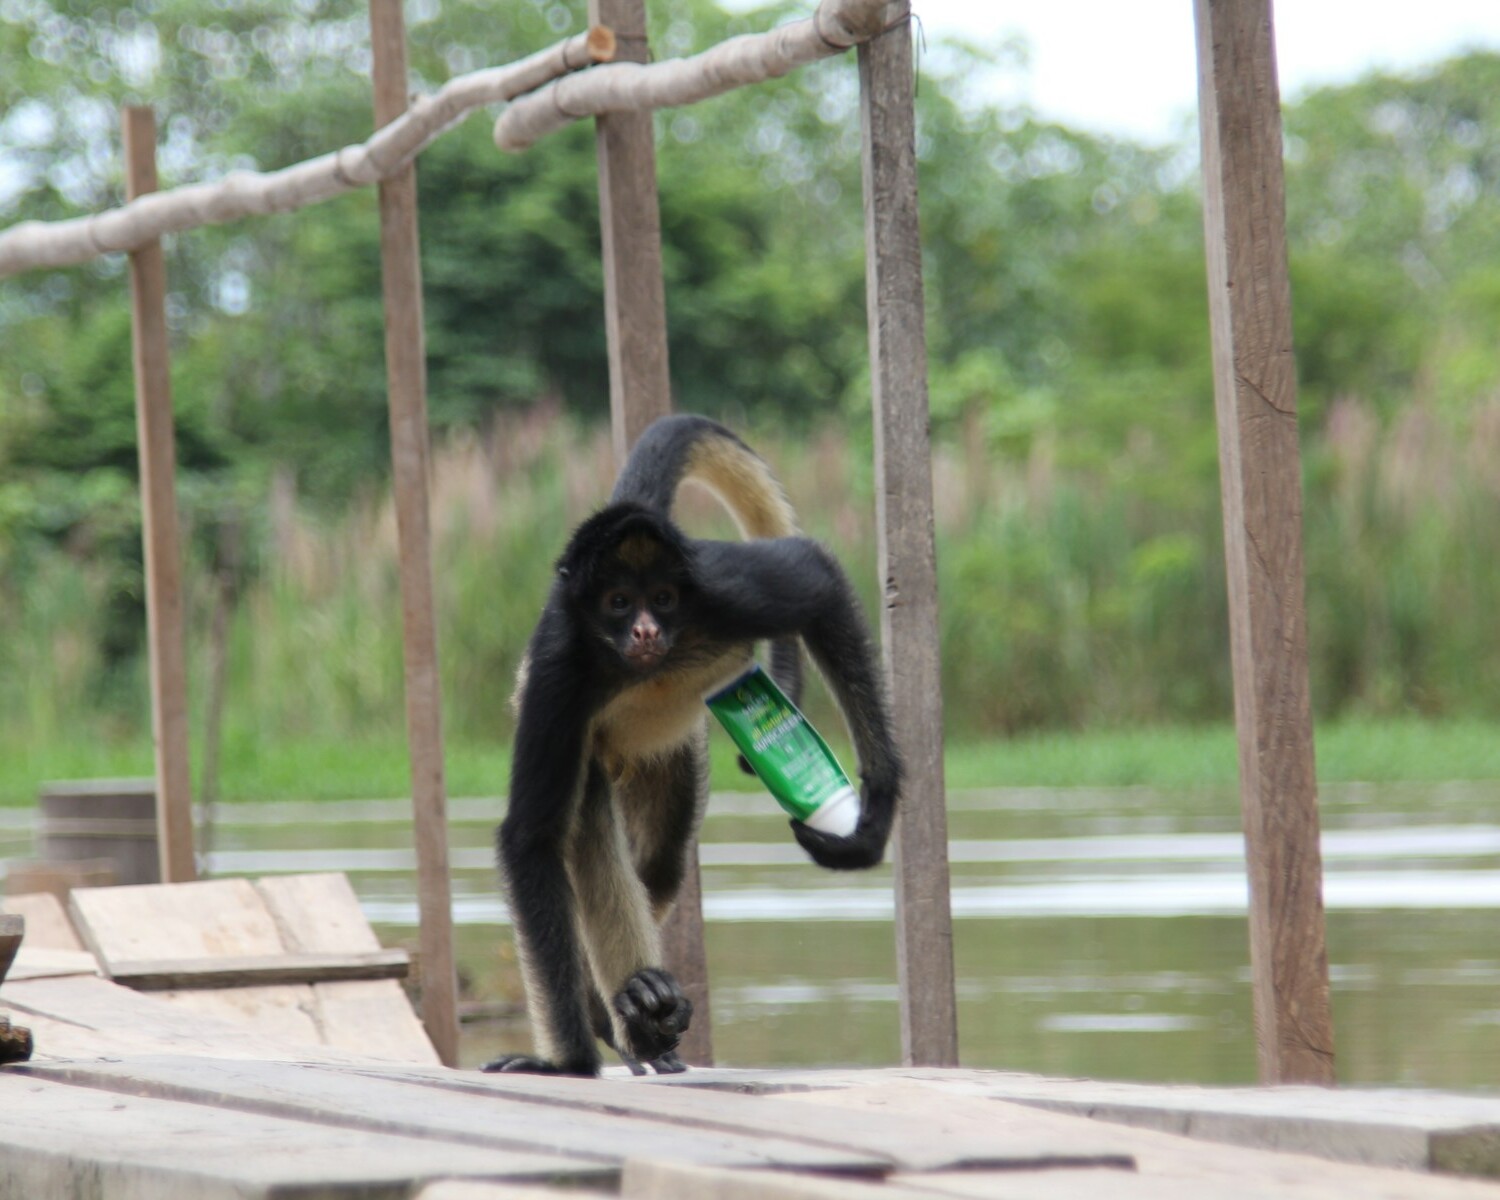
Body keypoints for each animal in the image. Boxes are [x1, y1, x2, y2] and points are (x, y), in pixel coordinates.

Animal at [483, 414, 902, 1078]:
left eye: (662, 599)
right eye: (619, 602)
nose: (646, 630)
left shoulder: (716, 591)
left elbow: (819, 582)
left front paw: (875, 810)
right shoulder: (558, 674)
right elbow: (531, 838)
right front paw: (567, 1065)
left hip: (672, 753)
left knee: (659, 859)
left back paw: (625, 1007)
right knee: (591, 818)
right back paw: (626, 1008)